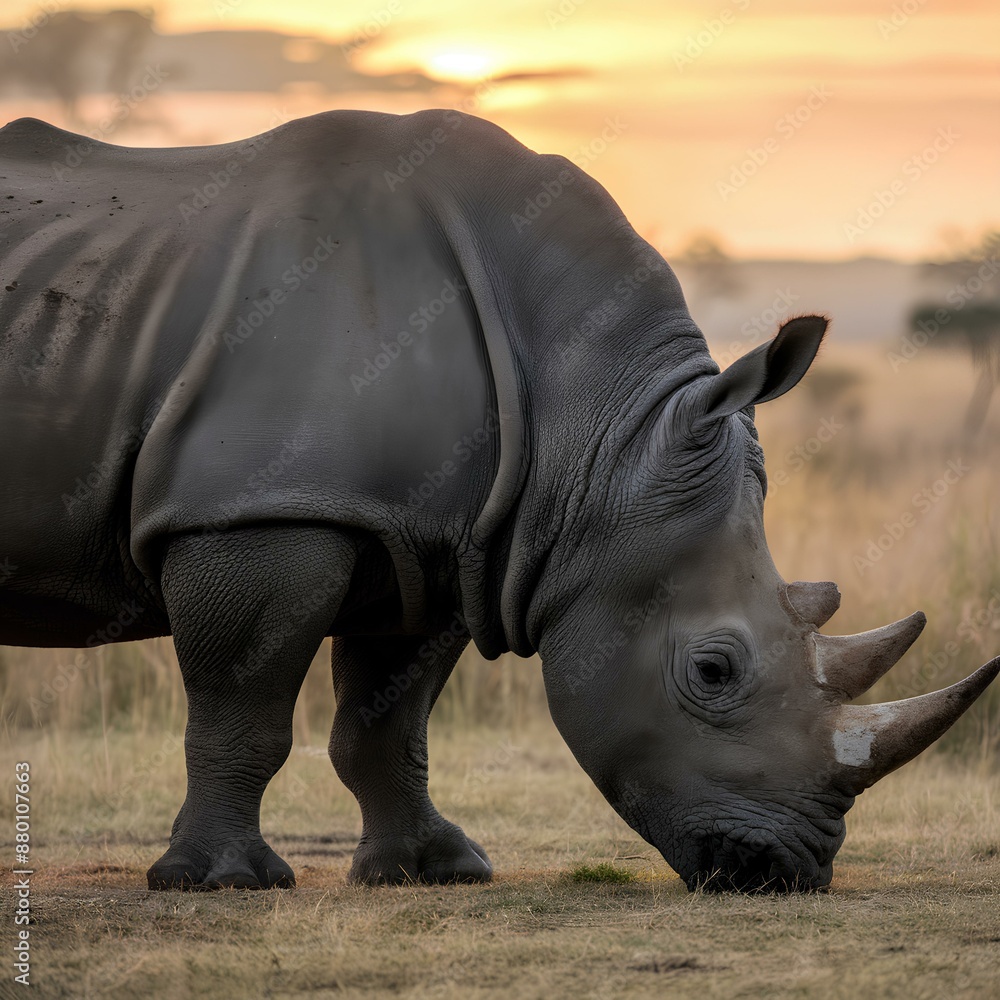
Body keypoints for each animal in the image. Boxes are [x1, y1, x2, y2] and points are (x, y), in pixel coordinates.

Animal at [1, 109, 996, 893]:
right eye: (714, 671)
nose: (790, 872)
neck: (597, 432)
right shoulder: (261, 506)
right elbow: (241, 706)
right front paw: (221, 883)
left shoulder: (437, 536)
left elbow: (389, 714)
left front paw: (434, 871)